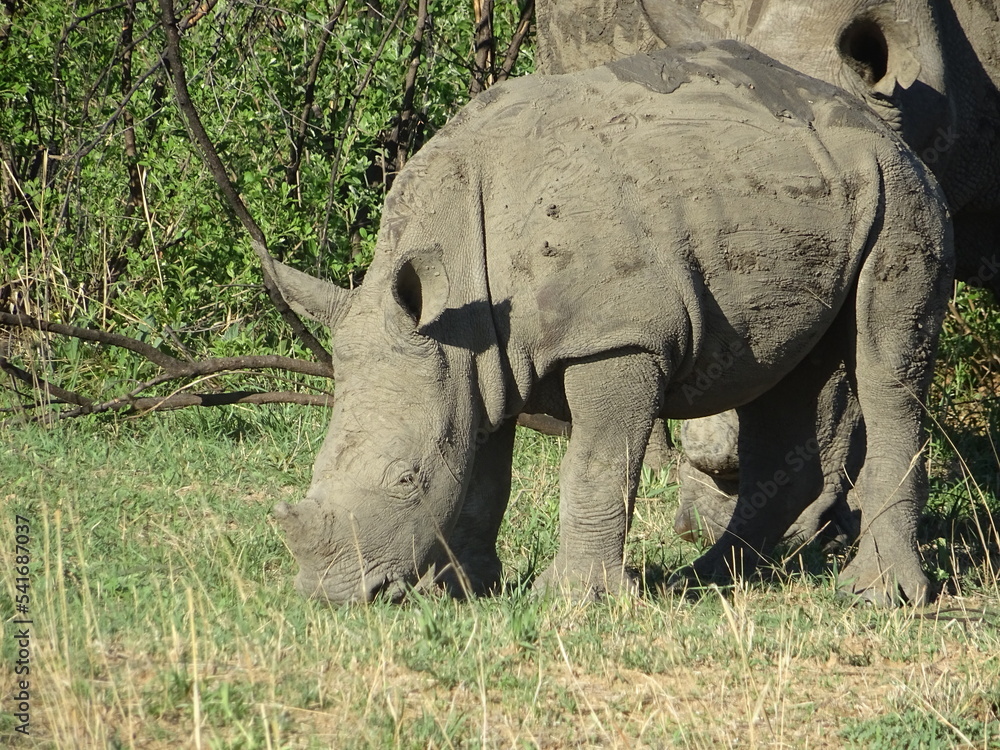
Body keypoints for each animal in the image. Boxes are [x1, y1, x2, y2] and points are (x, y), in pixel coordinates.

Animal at [272, 42, 953, 606]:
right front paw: (458, 587)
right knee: (782, 377)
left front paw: (573, 598)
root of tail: (887, 131)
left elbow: (595, 465)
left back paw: (878, 596)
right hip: (800, 201)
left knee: (886, 366)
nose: (328, 595)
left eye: (406, 478)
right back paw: (708, 579)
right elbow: (484, 472)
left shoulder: (618, 338)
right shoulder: (475, 357)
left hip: (903, 195)